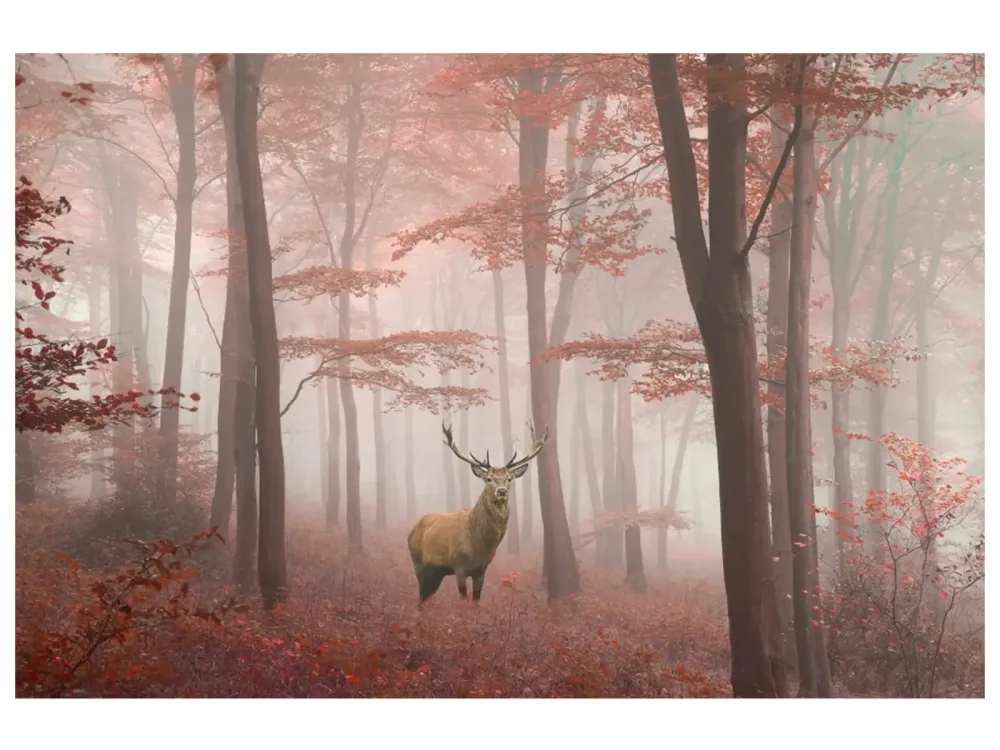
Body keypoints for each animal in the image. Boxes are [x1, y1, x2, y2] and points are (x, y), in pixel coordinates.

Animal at [407, 422, 548, 606]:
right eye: (488, 479)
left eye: (509, 479)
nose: (501, 491)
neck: (479, 545)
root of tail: (411, 530)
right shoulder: (458, 565)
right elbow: (463, 598)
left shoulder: (482, 569)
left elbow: (476, 600)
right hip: (417, 561)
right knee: (421, 595)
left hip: (437, 571)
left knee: (425, 595)